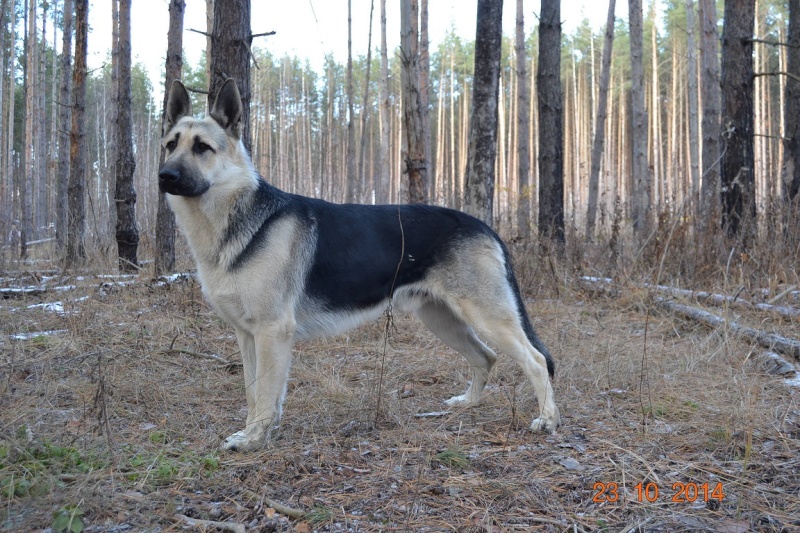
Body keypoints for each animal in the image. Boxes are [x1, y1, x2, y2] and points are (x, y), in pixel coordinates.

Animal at [158, 79, 564, 450]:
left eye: (202, 148)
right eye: (170, 145)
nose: (165, 176)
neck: (233, 219)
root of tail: (484, 226)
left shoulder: (272, 333)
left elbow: (265, 396)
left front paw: (254, 439)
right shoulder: (247, 335)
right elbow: (254, 392)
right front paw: (255, 433)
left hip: (486, 317)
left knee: (534, 360)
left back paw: (548, 419)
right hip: (441, 319)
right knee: (486, 357)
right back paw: (468, 404)